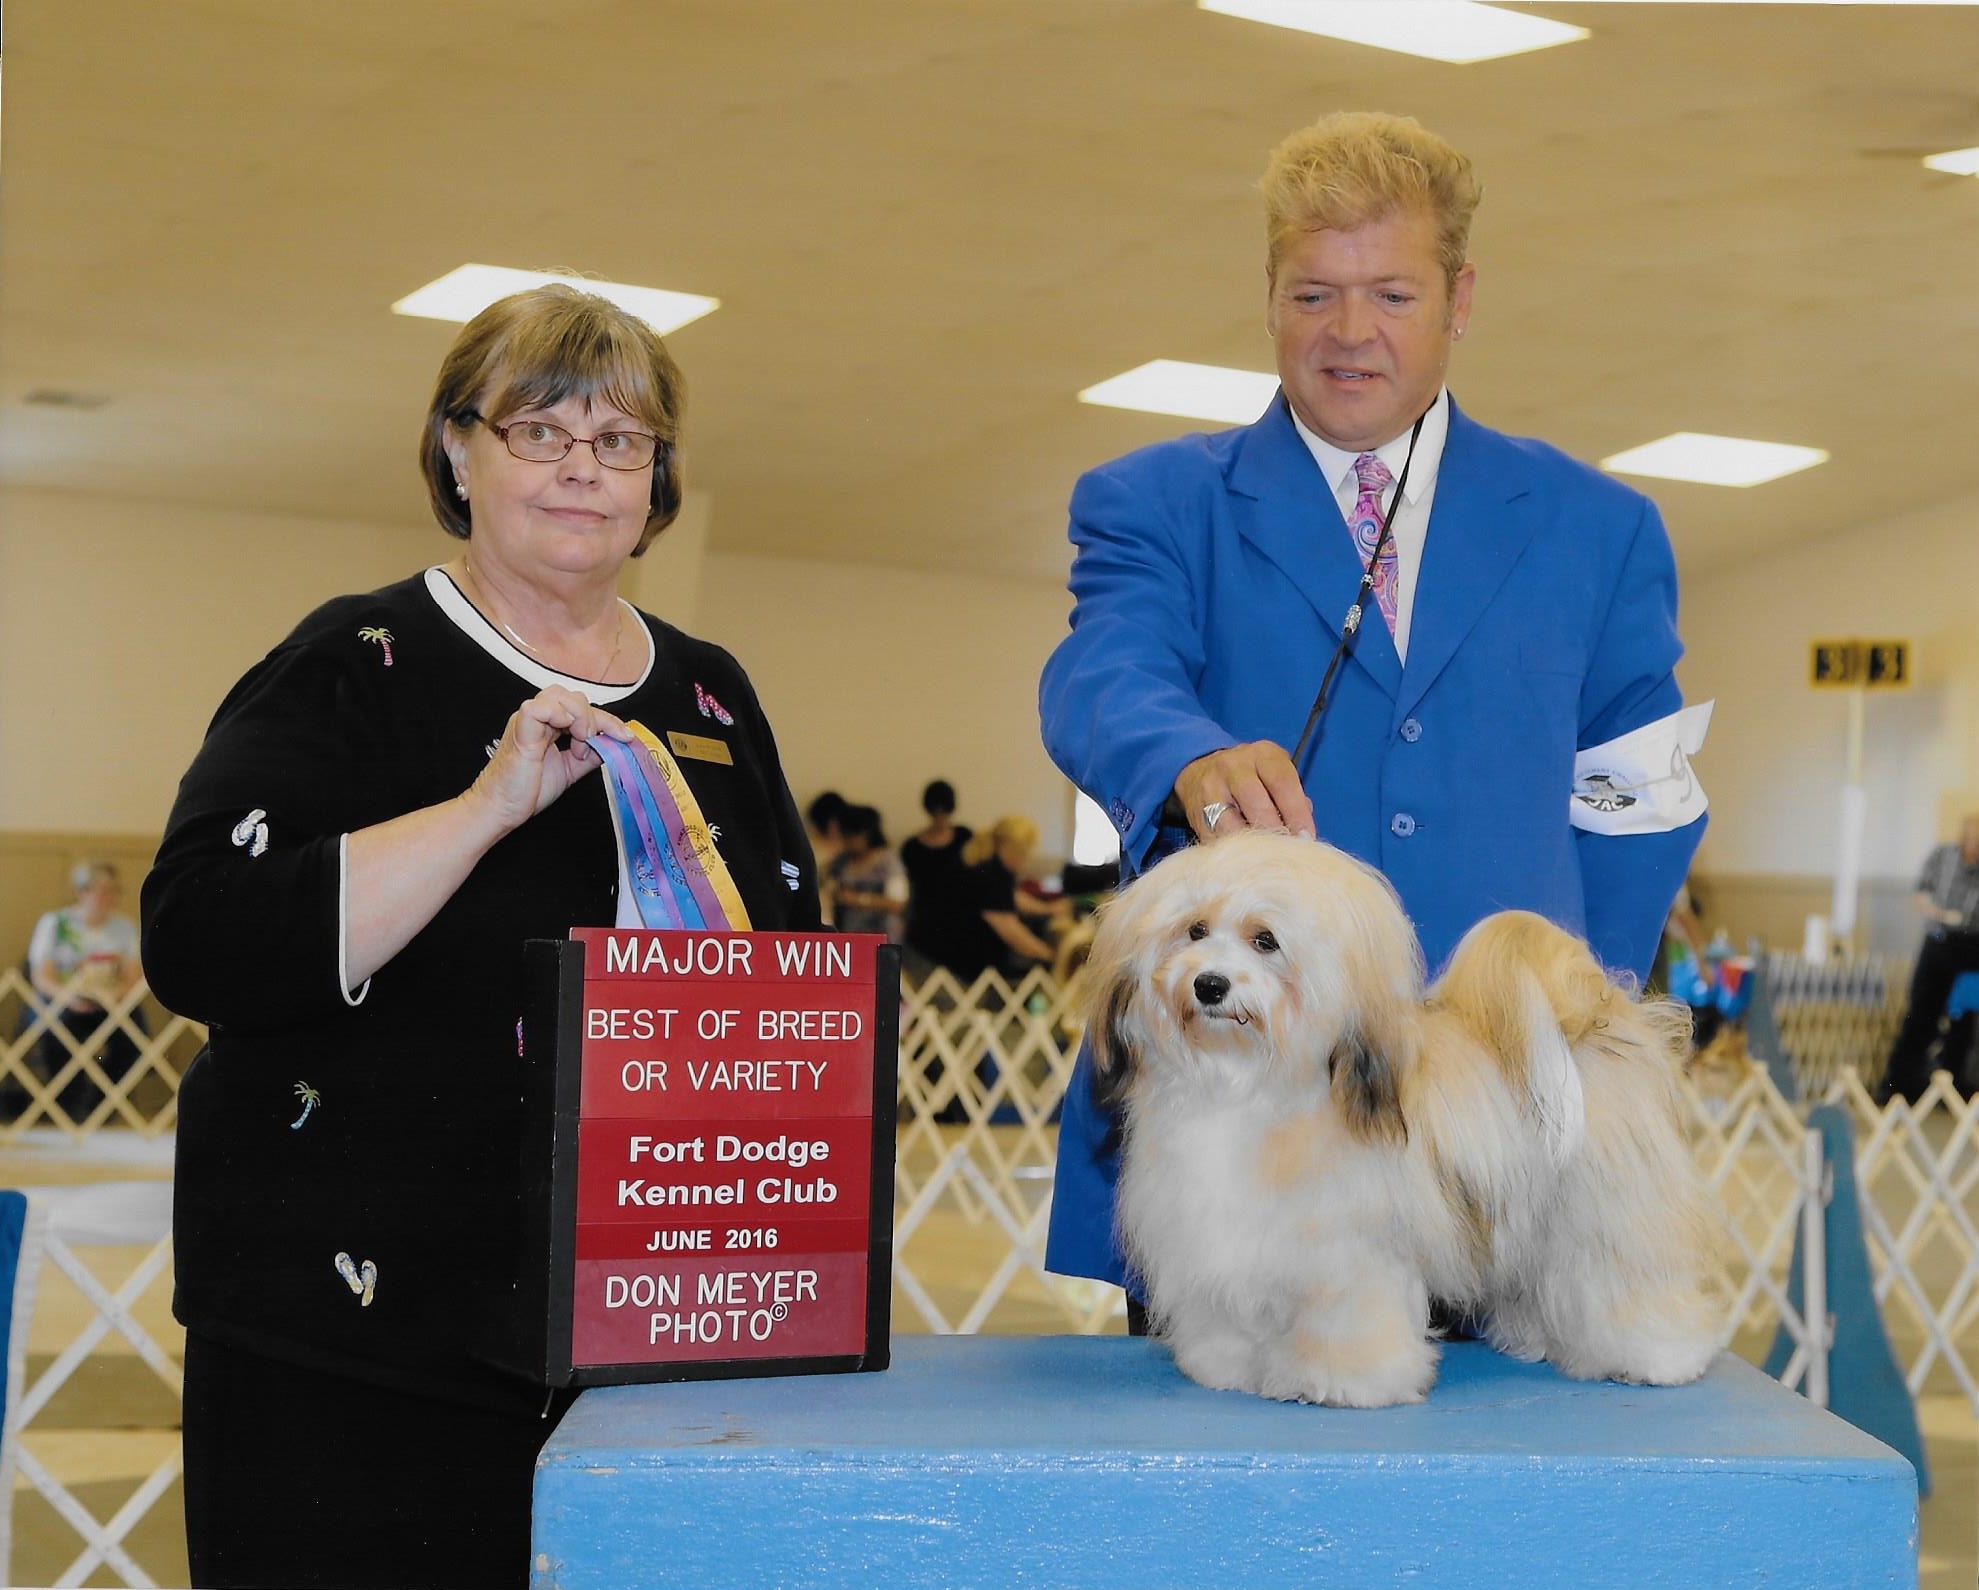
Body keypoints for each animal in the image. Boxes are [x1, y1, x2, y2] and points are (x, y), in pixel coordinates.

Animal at [1092, 831, 1725, 1401]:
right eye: (1194, 930)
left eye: (1265, 940)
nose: (1209, 984)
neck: (1245, 1085)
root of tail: (1591, 1019)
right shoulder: (1221, 1237)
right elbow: (1228, 1315)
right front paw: (1224, 1366)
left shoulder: (1347, 1253)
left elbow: (1346, 1320)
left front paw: (1340, 1381)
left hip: (1609, 1216)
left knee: (1628, 1282)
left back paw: (1656, 1356)